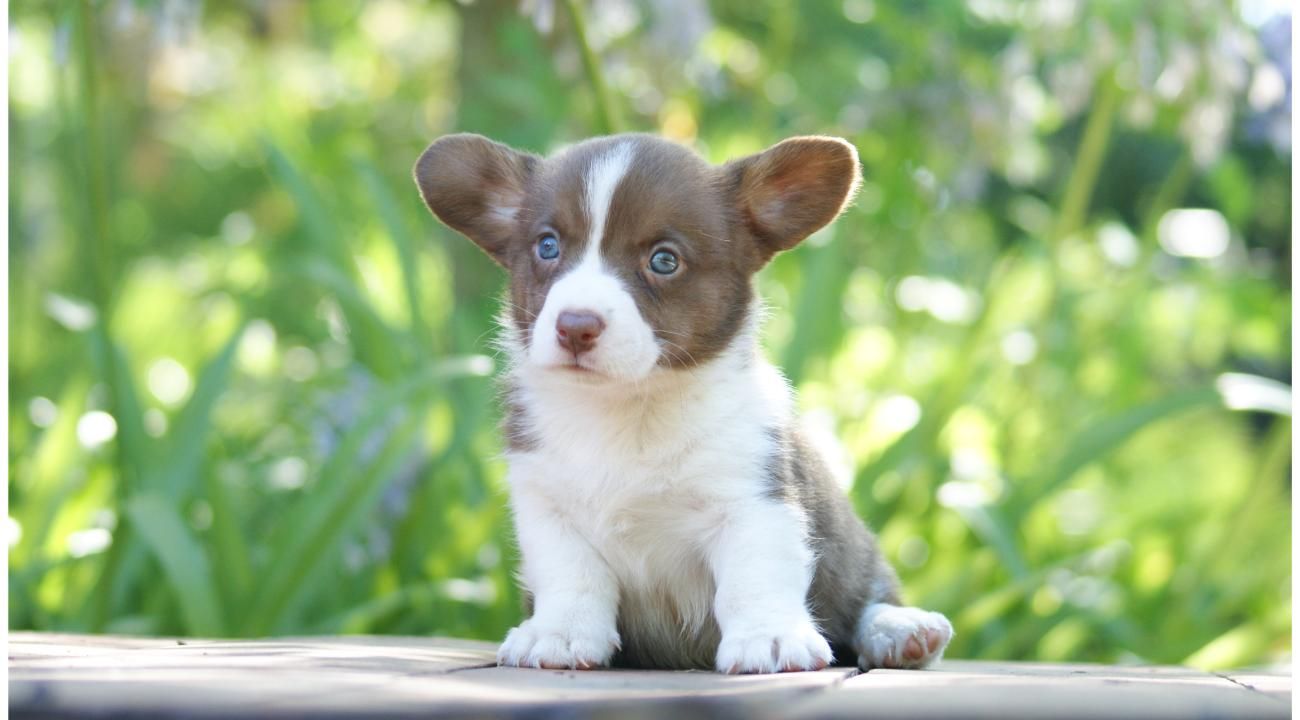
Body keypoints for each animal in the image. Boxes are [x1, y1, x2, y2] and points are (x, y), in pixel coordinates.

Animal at [416, 130, 956, 670]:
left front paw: (768, 639)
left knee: (867, 599)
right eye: (548, 246)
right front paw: (558, 634)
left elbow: (753, 579)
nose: (575, 326)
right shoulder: (547, 509)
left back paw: (901, 629)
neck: (627, 406)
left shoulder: (752, 503)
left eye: (664, 260)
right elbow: (571, 577)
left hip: (854, 557)